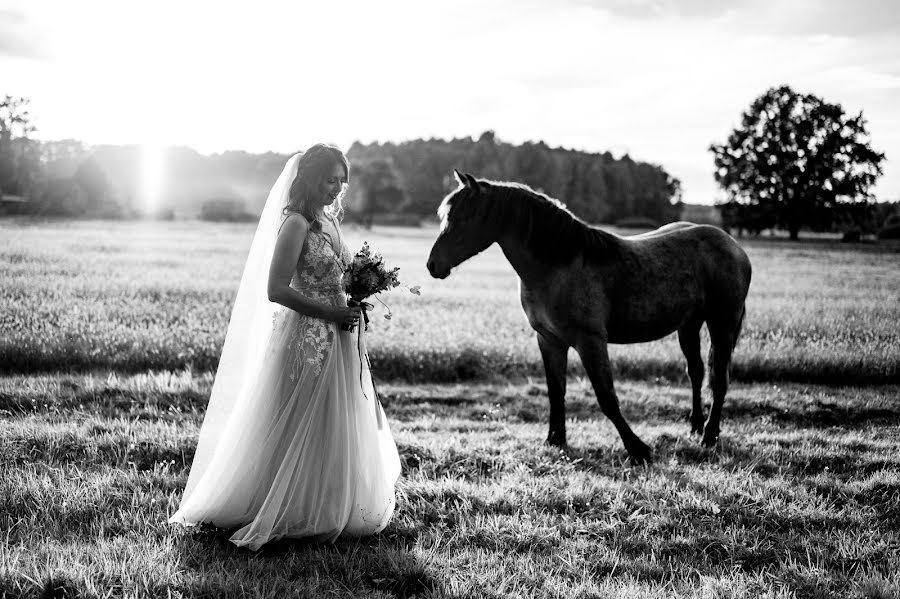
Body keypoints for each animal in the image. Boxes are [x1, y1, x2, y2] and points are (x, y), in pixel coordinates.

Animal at [426, 171, 748, 466]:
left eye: (462, 218)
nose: (433, 265)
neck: (559, 264)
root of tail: (732, 245)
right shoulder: (549, 340)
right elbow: (556, 391)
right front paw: (555, 440)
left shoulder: (590, 341)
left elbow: (606, 396)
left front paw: (637, 449)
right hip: (689, 325)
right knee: (696, 372)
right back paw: (695, 427)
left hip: (722, 324)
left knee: (720, 379)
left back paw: (709, 436)